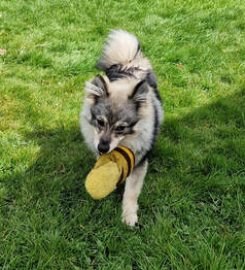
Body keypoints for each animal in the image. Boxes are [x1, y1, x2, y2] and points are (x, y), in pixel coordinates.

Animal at [80, 29, 164, 227]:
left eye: (121, 128)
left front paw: (129, 215)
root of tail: (128, 62)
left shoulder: (139, 161)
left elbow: (131, 192)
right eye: (100, 122)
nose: (103, 147)